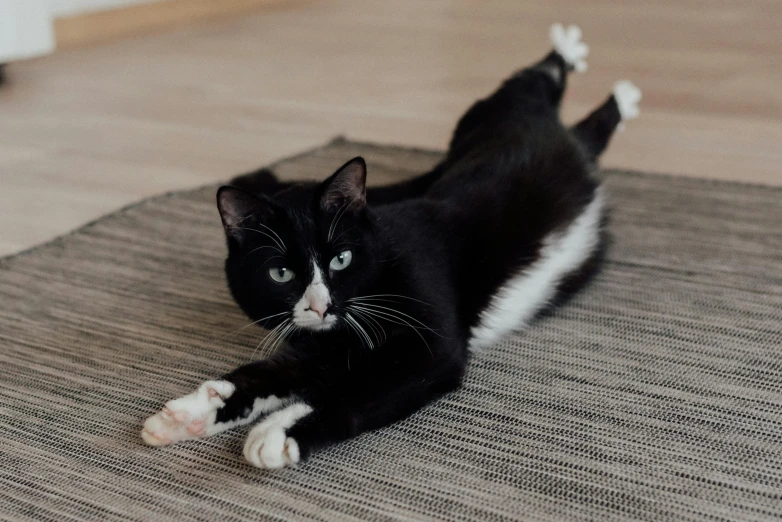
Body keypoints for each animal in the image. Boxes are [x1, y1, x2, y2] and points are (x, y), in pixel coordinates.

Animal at [142, 23, 644, 468]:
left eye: (341, 259)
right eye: (280, 273)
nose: (320, 306)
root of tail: (565, 136)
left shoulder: (431, 341)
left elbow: (361, 390)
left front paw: (279, 432)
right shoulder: (318, 347)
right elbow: (269, 373)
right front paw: (193, 413)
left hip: (491, 113)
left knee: (536, 85)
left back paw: (601, 76)